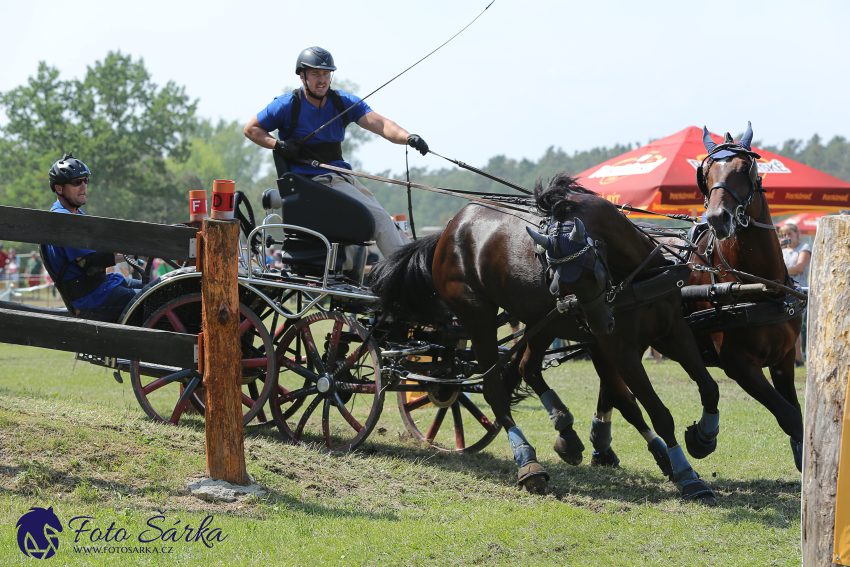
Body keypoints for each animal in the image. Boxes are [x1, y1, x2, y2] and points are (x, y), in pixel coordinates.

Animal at [372, 175, 716, 504]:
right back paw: (528, 461)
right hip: (479, 317)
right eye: (560, 283)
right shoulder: (618, 349)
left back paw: (566, 431)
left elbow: (705, 386)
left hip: (539, 321)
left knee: (527, 368)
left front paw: (703, 436)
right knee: (495, 389)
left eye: (591, 272)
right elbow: (653, 410)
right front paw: (688, 476)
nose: (601, 323)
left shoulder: (674, 331)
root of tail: (447, 231)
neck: (636, 275)